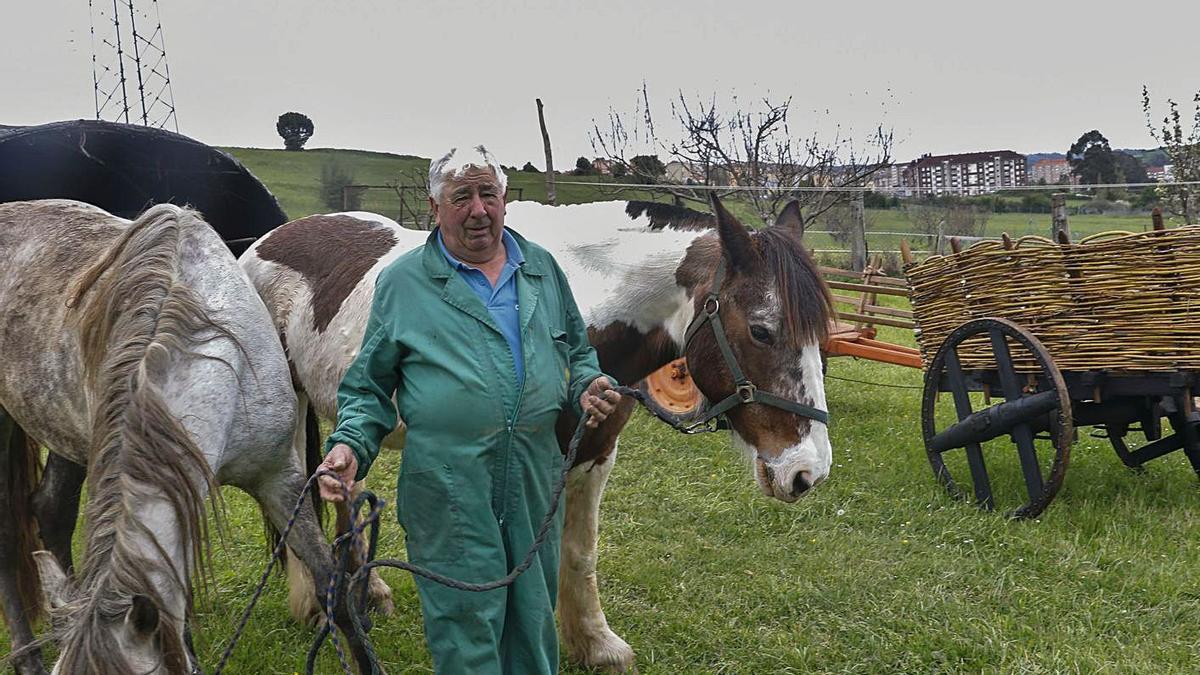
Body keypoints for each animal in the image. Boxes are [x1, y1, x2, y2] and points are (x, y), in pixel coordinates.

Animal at [236, 193, 835, 667]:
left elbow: (580, 551)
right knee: (297, 497)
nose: (808, 471)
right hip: (291, 407)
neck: (583, 305)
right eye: (761, 330)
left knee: (347, 489)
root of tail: (264, 242)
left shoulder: (595, 450)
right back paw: (318, 605)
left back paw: (370, 592)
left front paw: (595, 644)